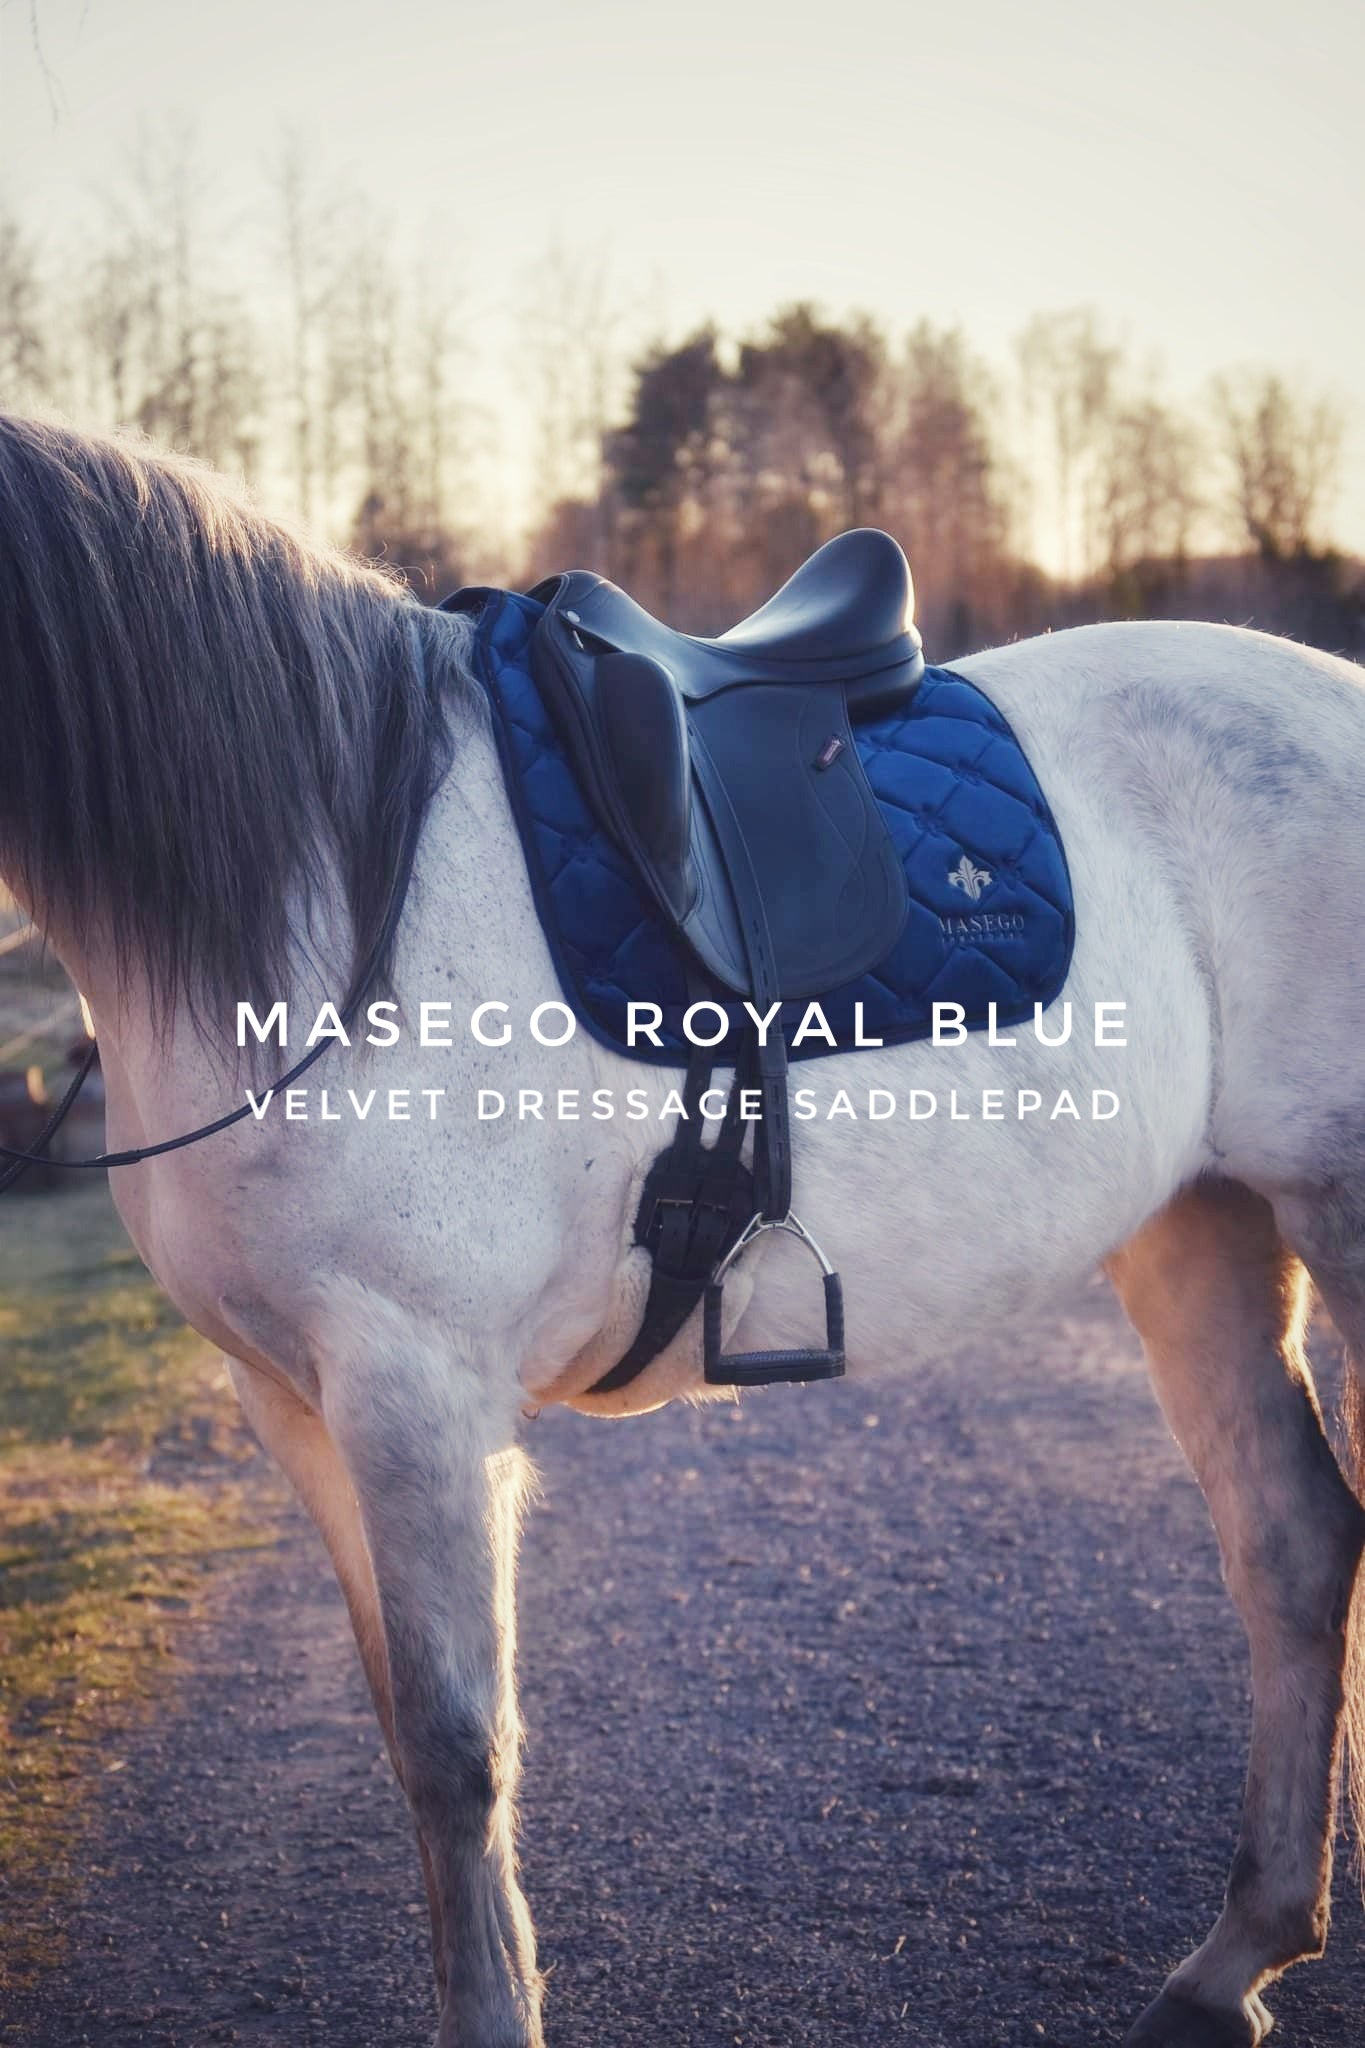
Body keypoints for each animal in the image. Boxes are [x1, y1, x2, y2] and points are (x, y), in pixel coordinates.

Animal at [2, 412, 1363, 2048]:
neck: (323, 897)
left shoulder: (417, 1392)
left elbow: (458, 1747)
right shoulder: (290, 1398)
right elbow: (407, 1726)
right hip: (1198, 1227)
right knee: (1292, 1546)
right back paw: (1230, 1964)